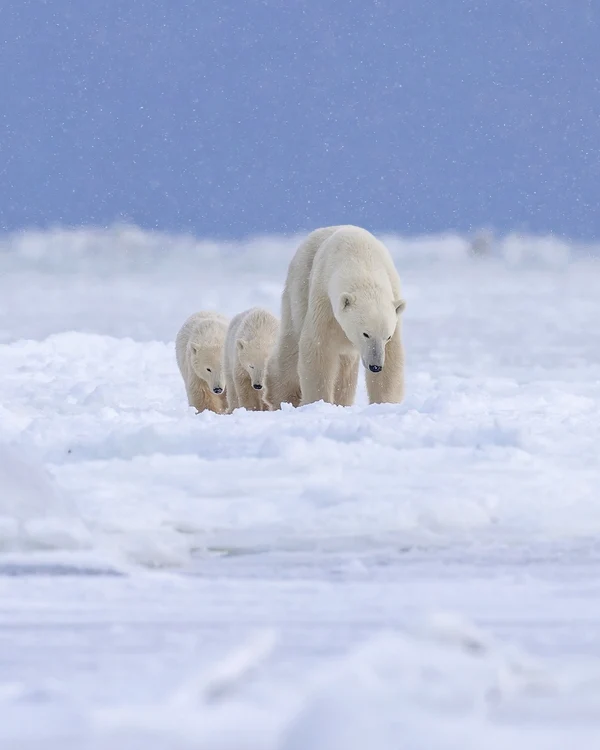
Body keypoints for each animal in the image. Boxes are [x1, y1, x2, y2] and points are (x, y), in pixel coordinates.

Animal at [268, 226, 408, 412]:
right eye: (365, 334)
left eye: (387, 336)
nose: (375, 366)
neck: (361, 258)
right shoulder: (324, 299)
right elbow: (318, 348)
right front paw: (318, 402)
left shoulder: (393, 301)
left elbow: (393, 356)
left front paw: (384, 404)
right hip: (298, 290)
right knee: (290, 349)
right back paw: (281, 398)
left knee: (346, 368)